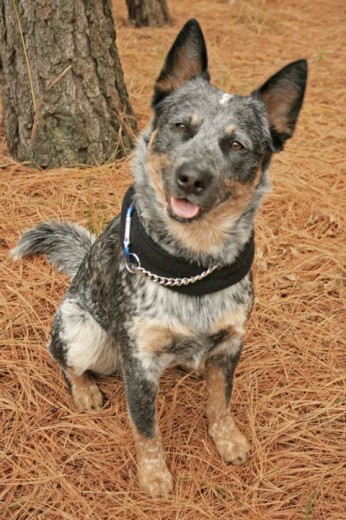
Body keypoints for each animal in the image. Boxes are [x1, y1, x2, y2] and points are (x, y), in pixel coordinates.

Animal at [11, 18, 308, 494]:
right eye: (181, 126)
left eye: (237, 146)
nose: (192, 177)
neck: (193, 267)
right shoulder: (140, 362)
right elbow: (146, 428)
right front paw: (154, 476)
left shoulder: (231, 343)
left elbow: (220, 402)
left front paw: (227, 440)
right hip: (82, 331)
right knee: (62, 359)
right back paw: (85, 391)